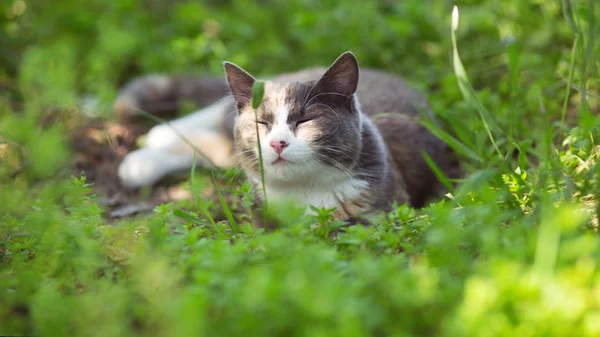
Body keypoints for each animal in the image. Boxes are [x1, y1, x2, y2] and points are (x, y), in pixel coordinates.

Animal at [116, 51, 460, 220]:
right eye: (261, 123)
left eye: (305, 120)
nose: (277, 142)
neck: (304, 192)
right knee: (217, 116)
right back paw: (148, 147)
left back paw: (148, 150)